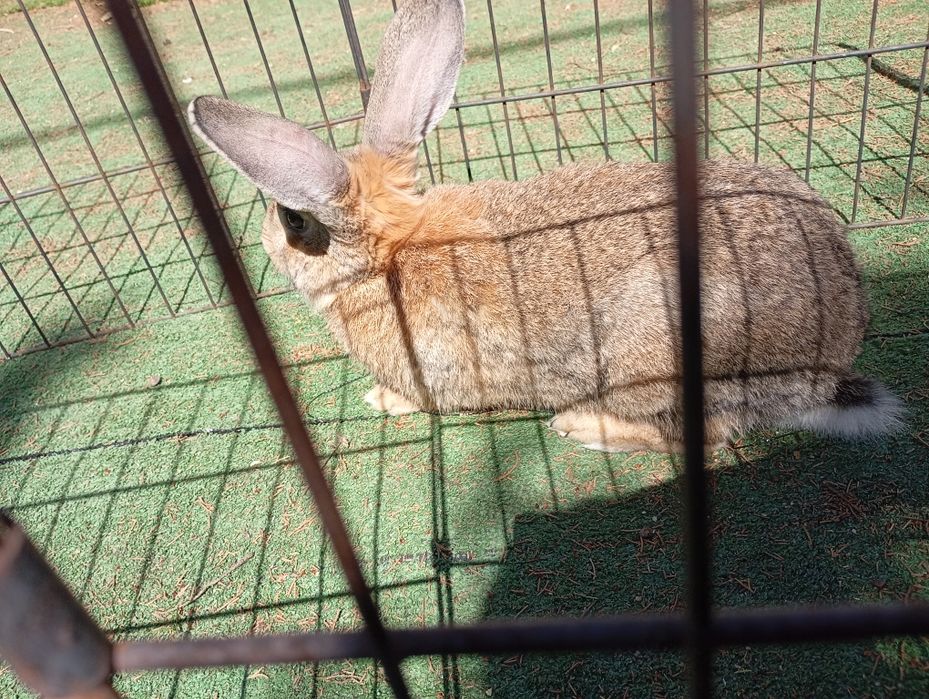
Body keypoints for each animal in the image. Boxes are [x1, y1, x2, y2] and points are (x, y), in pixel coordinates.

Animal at [187, 0, 902, 453]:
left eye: (294, 220)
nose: (265, 239)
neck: (386, 256)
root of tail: (831, 358)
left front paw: (382, 401)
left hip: (657, 361)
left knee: (696, 437)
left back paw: (580, 427)